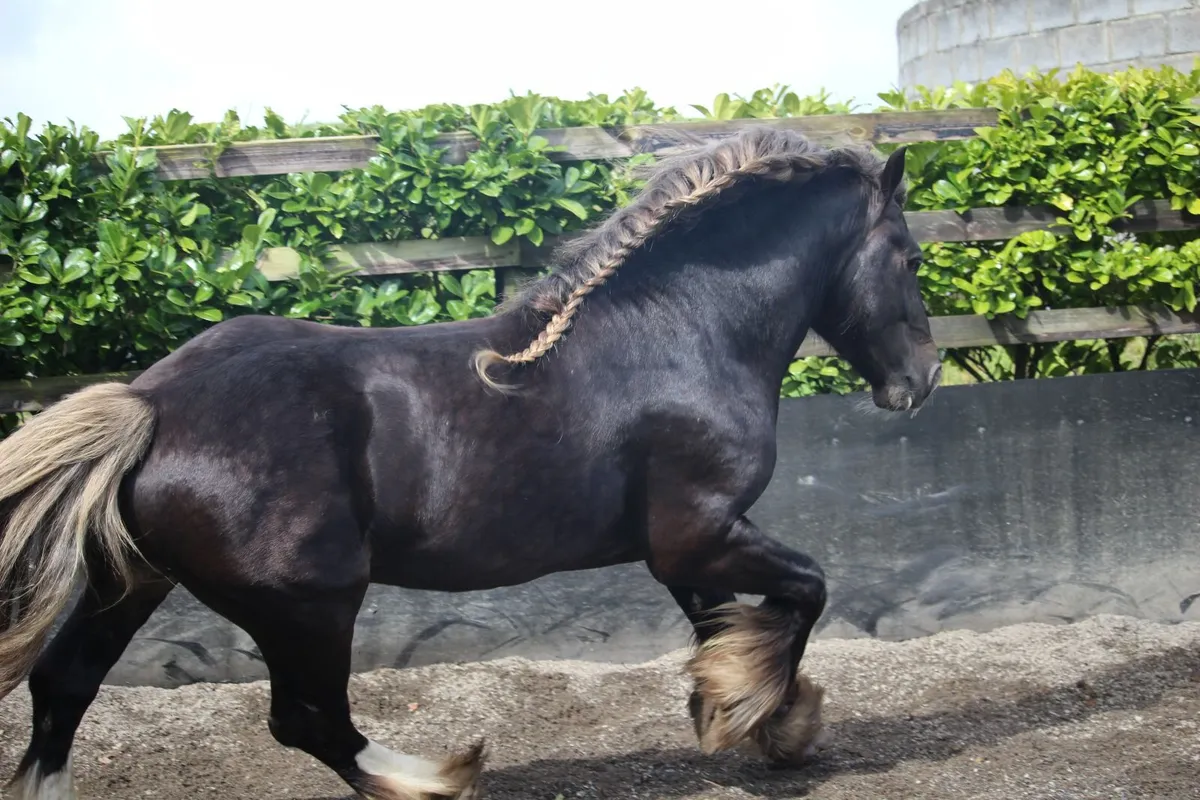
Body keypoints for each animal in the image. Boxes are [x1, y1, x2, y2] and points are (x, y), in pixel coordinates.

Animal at [0, 126, 941, 800]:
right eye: (912, 255)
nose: (922, 380)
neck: (679, 335)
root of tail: (149, 404)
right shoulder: (703, 533)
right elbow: (806, 590)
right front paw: (758, 714)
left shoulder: (683, 547)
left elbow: (727, 629)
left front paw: (760, 721)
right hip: (310, 602)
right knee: (308, 721)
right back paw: (440, 777)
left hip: (135, 580)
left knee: (63, 685)